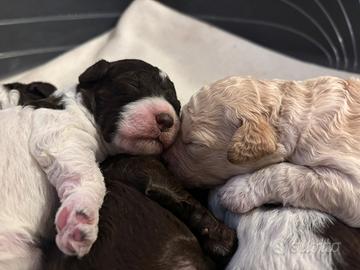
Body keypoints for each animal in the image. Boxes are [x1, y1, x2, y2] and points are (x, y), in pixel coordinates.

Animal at [0, 59, 180, 270]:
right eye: (132, 83)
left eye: (177, 105)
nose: (166, 120)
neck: (81, 108)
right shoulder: (60, 135)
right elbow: (92, 177)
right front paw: (80, 218)